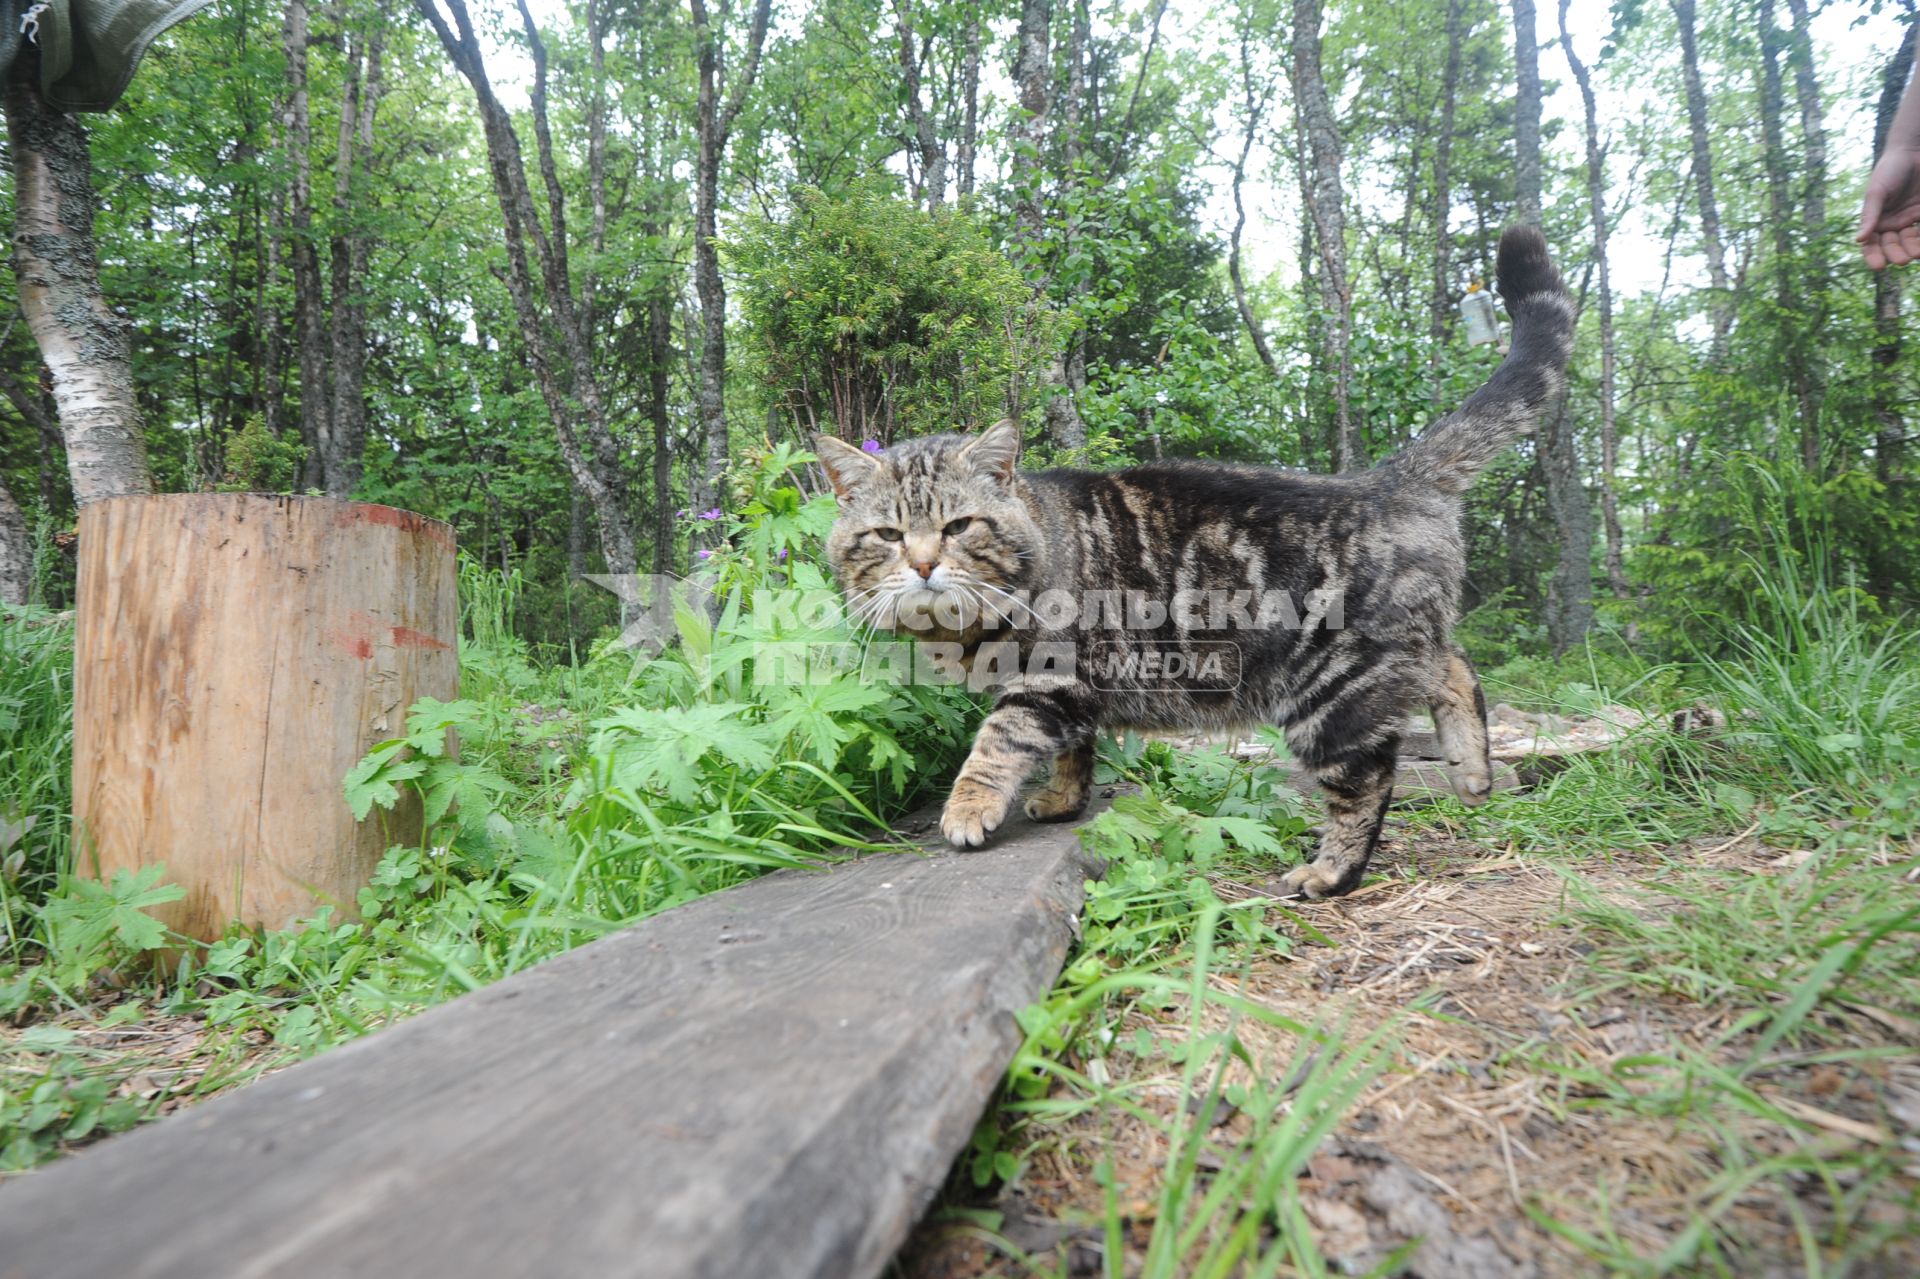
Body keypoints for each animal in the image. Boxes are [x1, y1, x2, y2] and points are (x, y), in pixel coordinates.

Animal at [817, 223, 1566, 891]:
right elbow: (1075, 751)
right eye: (888, 535)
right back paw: (1472, 772)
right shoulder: (1075, 694)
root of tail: (1386, 479)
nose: (921, 565)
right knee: (1454, 666)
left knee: (1367, 782)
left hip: (1334, 694)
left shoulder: (1047, 679)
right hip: (1398, 653)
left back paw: (1331, 871)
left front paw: (968, 808)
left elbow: (997, 743)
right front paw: (1062, 800)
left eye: (959, 526)